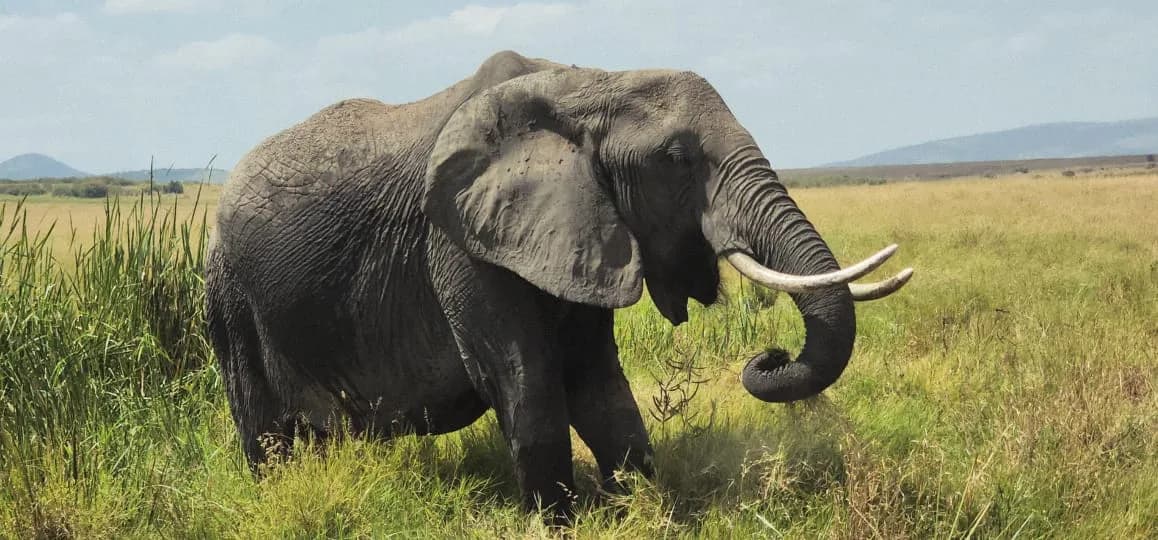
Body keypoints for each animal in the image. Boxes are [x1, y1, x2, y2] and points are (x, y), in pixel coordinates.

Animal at [204, 50, 912, 518]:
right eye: (677, 159)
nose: (770, 354)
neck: (588, 87)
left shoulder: (583, 231)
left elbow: (598, 383)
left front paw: (640, 510)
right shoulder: (459, 240)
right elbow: (526, 378)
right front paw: (558, 524)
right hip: (232, 299)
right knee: (265, 433)